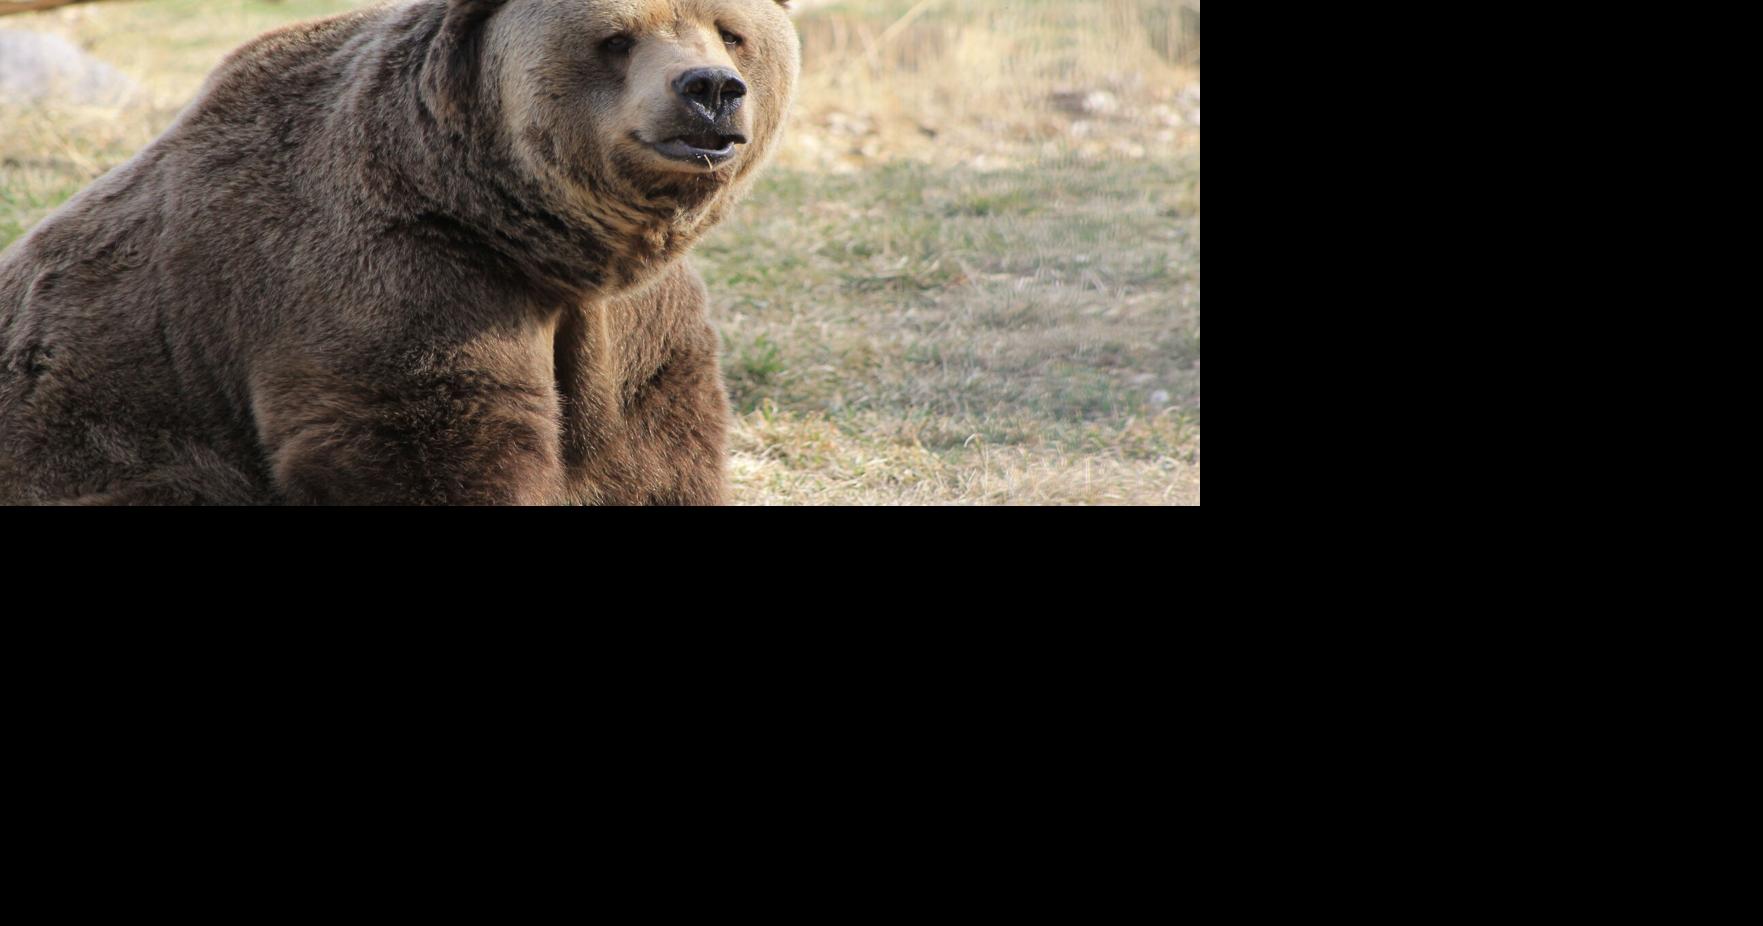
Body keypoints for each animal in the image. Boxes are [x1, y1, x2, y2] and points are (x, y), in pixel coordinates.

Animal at [0, 0, 798, 504]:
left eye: (731, 32)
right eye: (617, 37)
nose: (709, 89)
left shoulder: (637, 325)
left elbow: (653, 450)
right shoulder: (398, 279)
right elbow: (428, 442)